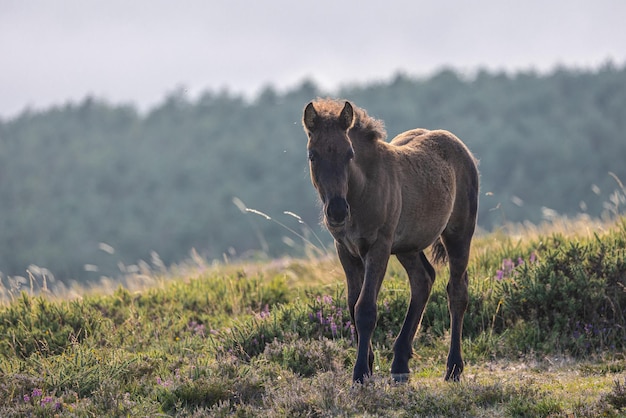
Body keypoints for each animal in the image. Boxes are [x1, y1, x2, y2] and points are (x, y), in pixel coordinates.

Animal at [302, 98, 478, 382]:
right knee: (423, 280)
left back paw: (453, 367)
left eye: (349, 153)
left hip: (459, 233)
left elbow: (365, 309)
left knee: (457, 291)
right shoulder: (346, 251)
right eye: (313, 155)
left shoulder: (379, 247)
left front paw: (361, 373)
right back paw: (400, 363)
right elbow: (352, 305)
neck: (362, 190)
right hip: (408, 246)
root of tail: (461, 148)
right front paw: (368, 364)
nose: (337, 212)